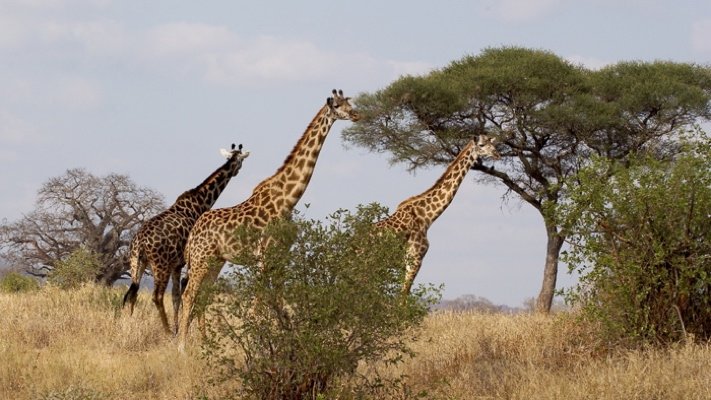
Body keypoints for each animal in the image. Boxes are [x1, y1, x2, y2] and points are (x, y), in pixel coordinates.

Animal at [124, 142, 252, 332]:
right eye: (240, 162)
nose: (236, 171)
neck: (199, 202)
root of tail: (139, 243)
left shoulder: (178, 264)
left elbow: (176, 297)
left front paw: (179, 328)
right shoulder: (185, 262)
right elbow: (184, 294)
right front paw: (180, 330)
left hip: (136, 263)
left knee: (132, 293)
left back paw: (127, 325)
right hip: (160, 266)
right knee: (156, 296)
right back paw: (167, 331)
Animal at [176, 89, 358, 348]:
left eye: (349, 102)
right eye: (338, 105)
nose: (356, 114)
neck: (288, 199)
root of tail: (193, 234)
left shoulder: (280, 255)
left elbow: (279, 304)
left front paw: (288, 340)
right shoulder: (264, 255)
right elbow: (260, 305)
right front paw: (256, 344)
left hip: (216, 261)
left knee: (203, 296)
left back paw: (204, 343)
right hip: (202, 259)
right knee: (189, 294)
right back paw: (181, 346)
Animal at [378, 135, 500, 294]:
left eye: (492, 143)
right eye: (481, 145)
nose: (497, 154)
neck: (426, 217)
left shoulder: (407, 262)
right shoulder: (415, 258)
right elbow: (403, 296)